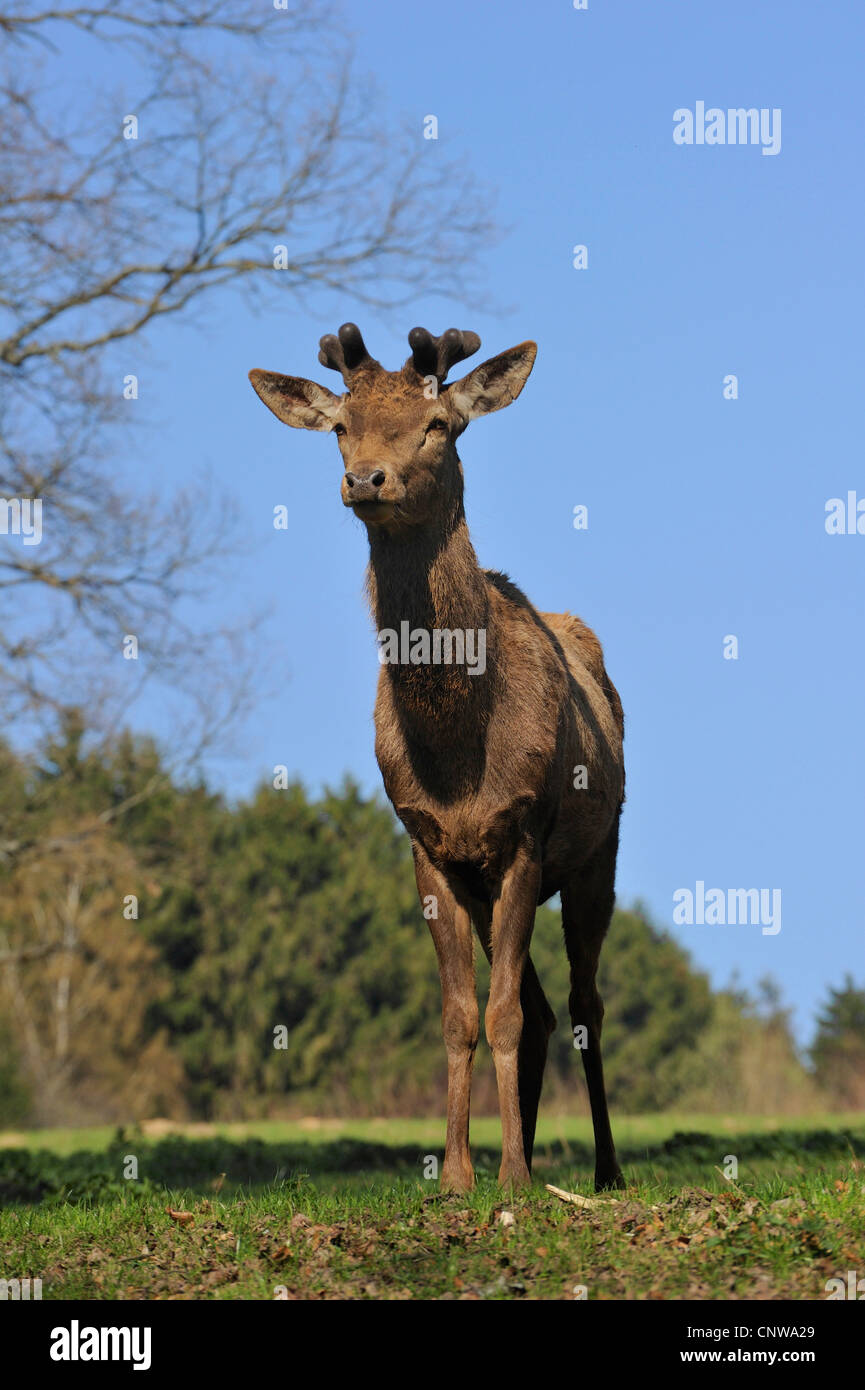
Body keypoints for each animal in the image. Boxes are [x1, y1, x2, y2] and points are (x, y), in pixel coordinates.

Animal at [247, 325, 625, 1195]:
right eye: (340, 426)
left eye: (439, 426)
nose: (365, 479)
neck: (457, 759)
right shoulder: (428, 843)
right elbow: (462, 1014)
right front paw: (457, 1174)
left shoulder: (523, 830)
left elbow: (503, 1012)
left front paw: (512, 1176)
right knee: (542, 1007)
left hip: (599, 854)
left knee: (583, 1006)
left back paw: (602, 1169)